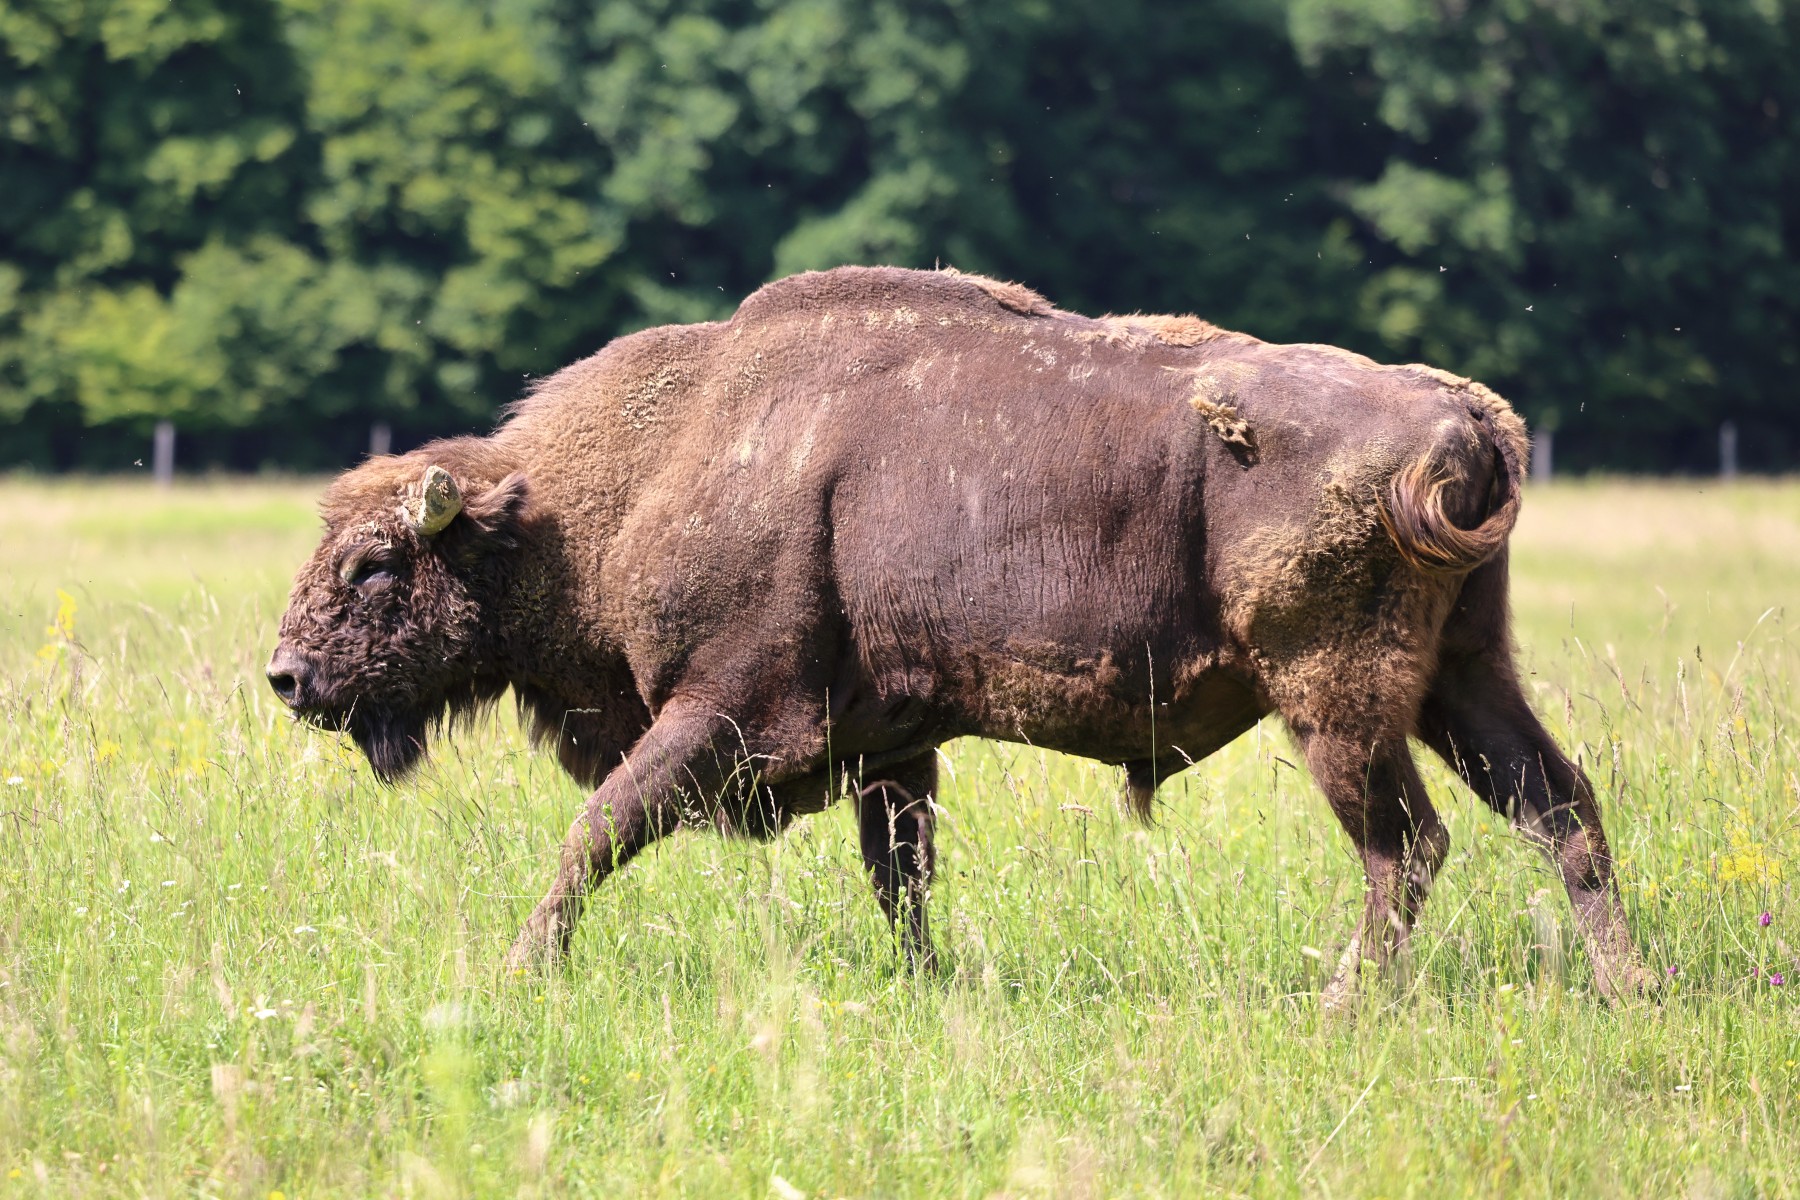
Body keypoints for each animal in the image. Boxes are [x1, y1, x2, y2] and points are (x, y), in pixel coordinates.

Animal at [269, 266, 1652, 1002]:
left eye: (378, 565)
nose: (286, 677)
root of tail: (1465, 417)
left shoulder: (722, 711)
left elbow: (596, 832)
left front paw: (520, 969)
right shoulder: (894, 745)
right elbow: (903, 875)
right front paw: (927, 984)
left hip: (1338, 702)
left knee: (1406, 845)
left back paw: (1343, 1001)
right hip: (1464, 678)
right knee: (1560, 809)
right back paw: (1629, 988)